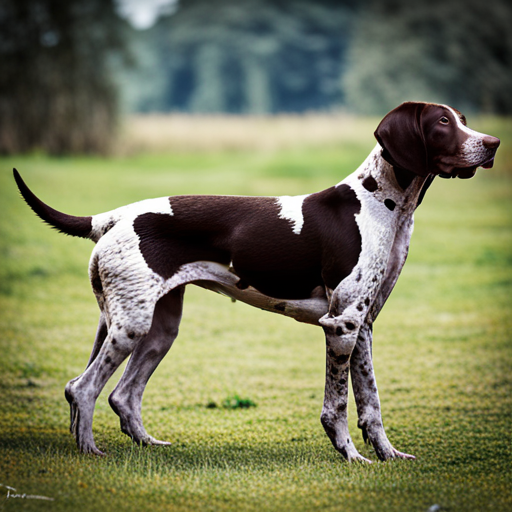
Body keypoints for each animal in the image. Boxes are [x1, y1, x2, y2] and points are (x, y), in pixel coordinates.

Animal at [15, 102, 500, 462]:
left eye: (463, 119)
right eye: (442, 122)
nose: (493, 143)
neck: (381, 203)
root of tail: (112, 217)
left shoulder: (363, 326)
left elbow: (372, 406)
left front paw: (387, 456)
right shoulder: (340, 325)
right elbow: (338, 406)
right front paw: (351, 457)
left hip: (156, 329)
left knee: (122, 395)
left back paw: (147, 444)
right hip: (131, 326)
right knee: (83, 388)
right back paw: (90, 452)